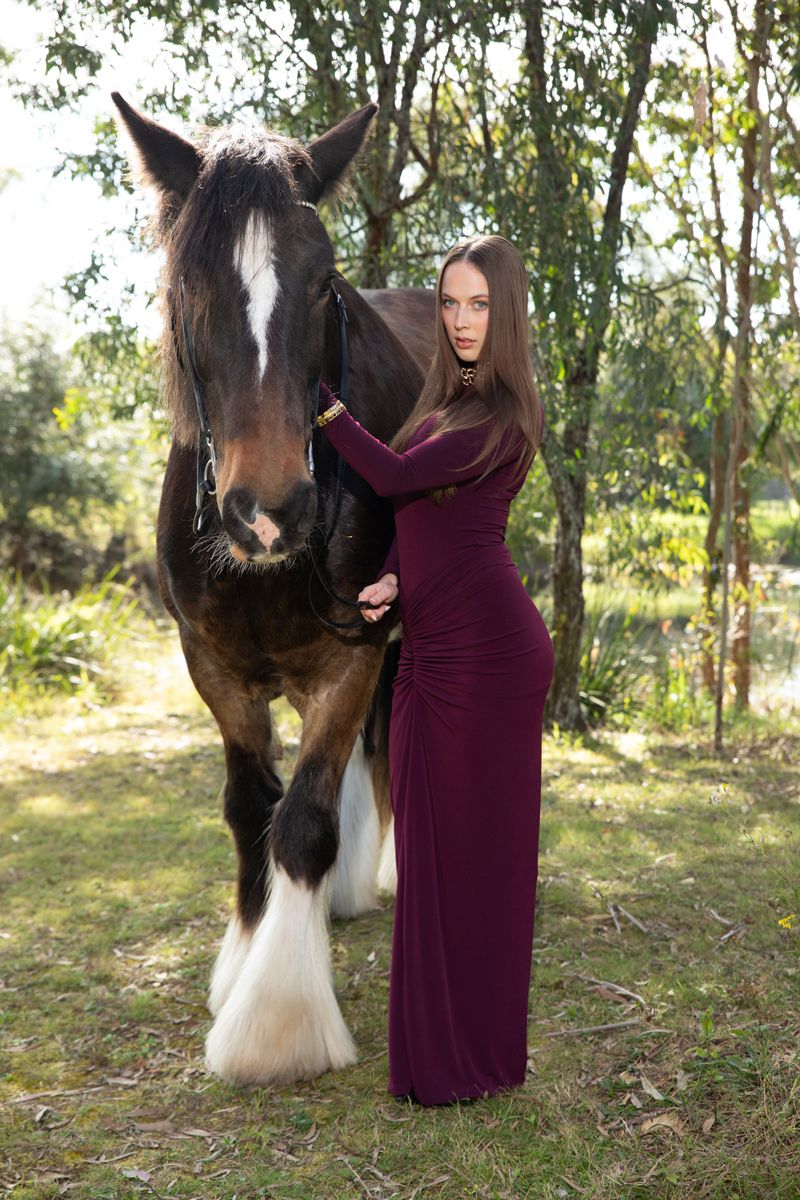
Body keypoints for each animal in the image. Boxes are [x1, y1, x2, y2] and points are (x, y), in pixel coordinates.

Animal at [112, 93, 436, 1086]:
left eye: (325, 280)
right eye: (189, 281)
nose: (269, 511)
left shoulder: (352, 655)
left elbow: (304, 823)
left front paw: (277, 1024)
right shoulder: (212, 667)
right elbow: (252, 809)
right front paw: (244, 960)